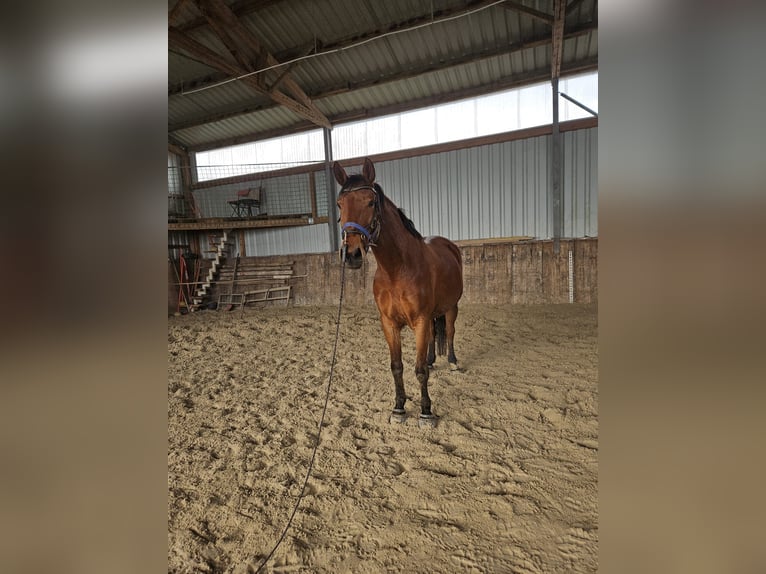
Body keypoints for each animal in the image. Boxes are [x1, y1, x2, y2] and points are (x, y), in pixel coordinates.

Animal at [333, 158, 463, 427]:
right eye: (340, 204)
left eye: (371, 202)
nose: (351, 255)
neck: (397, 270)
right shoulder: (389, 323)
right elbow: (397, 366)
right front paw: (399, 408)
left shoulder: (421, 321)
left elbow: (419, 370)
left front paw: (426, 412)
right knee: (434, 338)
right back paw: (434, 360)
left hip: (451, 307)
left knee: (450, 332)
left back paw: (453, 362)